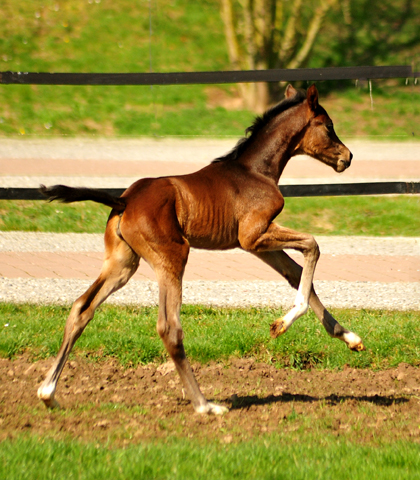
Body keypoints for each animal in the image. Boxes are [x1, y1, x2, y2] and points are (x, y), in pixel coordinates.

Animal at [37, 84, 364, 414]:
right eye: (328, 125)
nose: (347, 156)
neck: (255, 171)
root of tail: (124, 200)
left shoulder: (256, 245)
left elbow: (295, 273)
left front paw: (350, 338)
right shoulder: (254, 235)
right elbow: (312, 246)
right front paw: (281, 325)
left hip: (122, 263)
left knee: (82, 307)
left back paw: (48, 392)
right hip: (173, 256)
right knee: (169, 327)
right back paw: (205, 404)